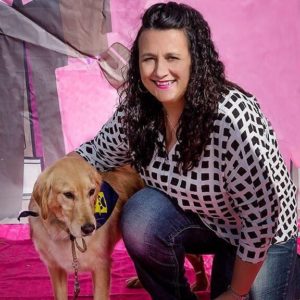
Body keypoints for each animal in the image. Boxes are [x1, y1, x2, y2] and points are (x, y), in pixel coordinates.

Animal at [28, 156, 144, 298]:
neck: (68, 235)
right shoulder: (55, 267)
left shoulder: (101, 266)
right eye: (68, 194)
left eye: (91, 191)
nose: (89, 228)